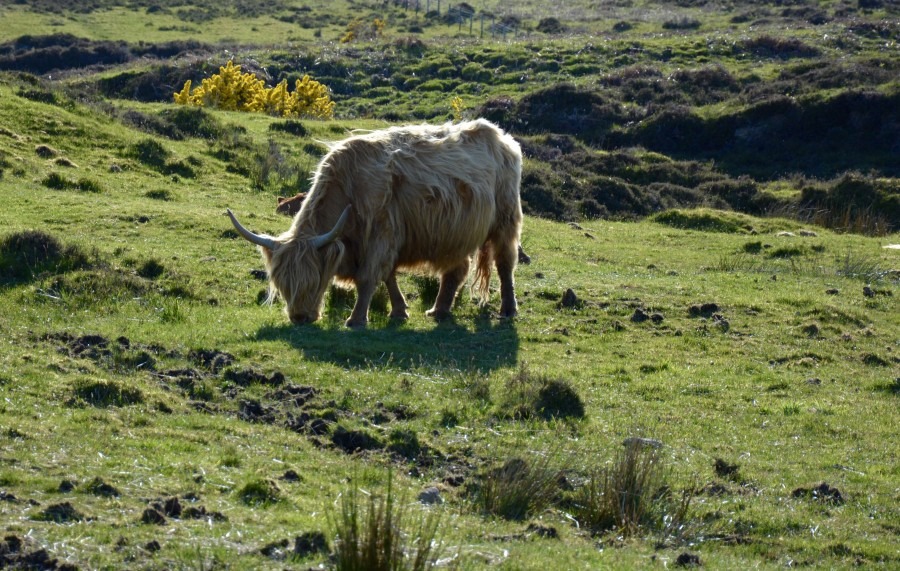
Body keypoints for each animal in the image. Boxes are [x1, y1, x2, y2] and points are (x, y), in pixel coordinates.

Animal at [229, 118, 524, 328]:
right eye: (282, 283)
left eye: (313, 280)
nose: (300, 317)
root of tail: (503, 137)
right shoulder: (383, 240)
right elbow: (388, 276)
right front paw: (399, 311)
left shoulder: (381, 235)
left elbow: (369, 277)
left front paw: (356, 320)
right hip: (454, 234)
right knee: (457, 269)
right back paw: (438, 310)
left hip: (505, 219)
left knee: (505, 262)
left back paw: (508, 310)